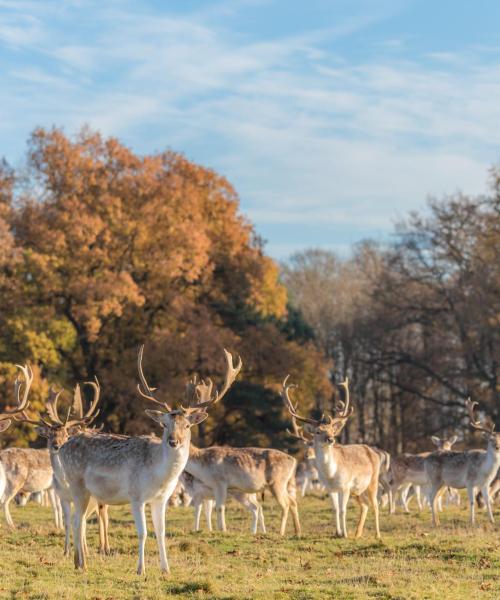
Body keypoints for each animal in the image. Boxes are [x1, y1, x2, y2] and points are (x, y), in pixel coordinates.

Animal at [18, 378, 111, 556]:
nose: (57, 445)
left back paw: (105, 548)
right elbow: (68, 522)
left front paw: (83, 551)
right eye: (49, 435)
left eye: (66, 435)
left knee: (103, 515)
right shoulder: (62, 497)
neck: (66, 483)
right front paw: (67, 551)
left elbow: (81, 522)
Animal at [184, 352, 300, 536]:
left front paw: (222, 531)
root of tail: (294, 461)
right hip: (284, 484)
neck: (201, 465)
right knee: (293, 502)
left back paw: (281, 532)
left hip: (277, 482)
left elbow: (218, 509)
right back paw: (297, 532)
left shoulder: (220, 483)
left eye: (186, 424)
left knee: (286, 504)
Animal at [280, 376, 380, 540]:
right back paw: (358, 534)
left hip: (373, 481)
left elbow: (343, 510)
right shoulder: (329, 488)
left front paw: (345, 534)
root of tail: (374, 452)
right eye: (318, 431)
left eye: (333, 430)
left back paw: (377, 535)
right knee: (365, 505)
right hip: (357, 490)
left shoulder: (345, 486)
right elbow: (335, 509)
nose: (331, 439)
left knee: (375, 505)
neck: (331, 475)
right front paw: (338, 532)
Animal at [426, 400, 500, 528]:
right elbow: (472, 502)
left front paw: (492, 521)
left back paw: (438, 522)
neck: (484, 470)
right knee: (431, 497)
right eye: (490, 439)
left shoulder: (485, 484)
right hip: (435, 479)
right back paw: (435, 523)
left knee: (435, 498)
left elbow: (488, 500)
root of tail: (425, 460)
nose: (497, 447)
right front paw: (472, 521)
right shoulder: (470, 482)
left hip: (443, 483)